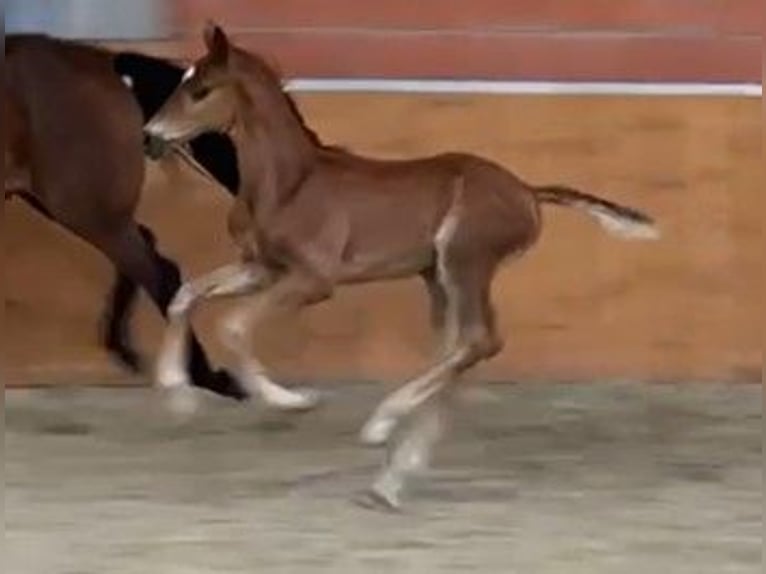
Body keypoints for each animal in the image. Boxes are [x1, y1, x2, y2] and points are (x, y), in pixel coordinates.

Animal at [3, 32, 249, 400]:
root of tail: (109, 65)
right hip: (76, 205)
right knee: (150, 255)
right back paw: (127, 348)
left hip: (84, 207)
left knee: (158, 272)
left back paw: (205, 376)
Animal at [147, 23, 664, 508]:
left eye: (200, 90)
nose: (151, 137)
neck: (291, 183)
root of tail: (528, 192)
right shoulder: (262, 270)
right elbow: (185, 295)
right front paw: (177, 393)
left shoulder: (314, 280)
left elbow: (234, 326)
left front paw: (292, 401)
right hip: (437, 276)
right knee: (459, 349)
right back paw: (391, 480)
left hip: (464, 260)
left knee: (477, 340)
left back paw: (382, 426)